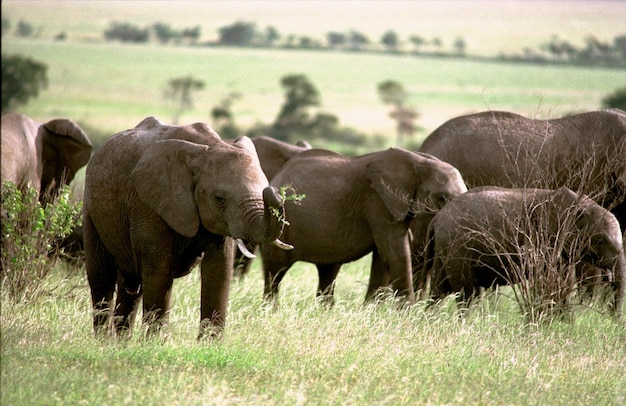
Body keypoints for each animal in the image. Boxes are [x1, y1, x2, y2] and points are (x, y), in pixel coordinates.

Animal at [81, 116, 288, 338]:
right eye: (219, 199)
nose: (273, 191)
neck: (208, 148)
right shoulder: (149, 203)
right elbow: (159, 269)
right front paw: (156, 342)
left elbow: (219, 268)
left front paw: (210, 344)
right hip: (92, 209)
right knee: (102, 276)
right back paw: (103, 340)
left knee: (131, 286)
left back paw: (120, 342)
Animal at [256, 146, 466, 304]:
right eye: (442, 198)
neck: (419, 161)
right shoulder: (378, 202)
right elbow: (395, 254)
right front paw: (407, 313)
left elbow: (382, 259)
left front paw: (370, 311)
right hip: (278, 227)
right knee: (275, 273)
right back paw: (271, 310)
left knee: (327, 273)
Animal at [422, 186, 620, 318]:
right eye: (600, 241)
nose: (612, 319)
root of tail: (436, 218)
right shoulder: (544, 239)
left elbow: (563, 283)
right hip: (457, 248)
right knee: (467, 294)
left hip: (446, 250)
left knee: (439, 291)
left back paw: (430, 319)